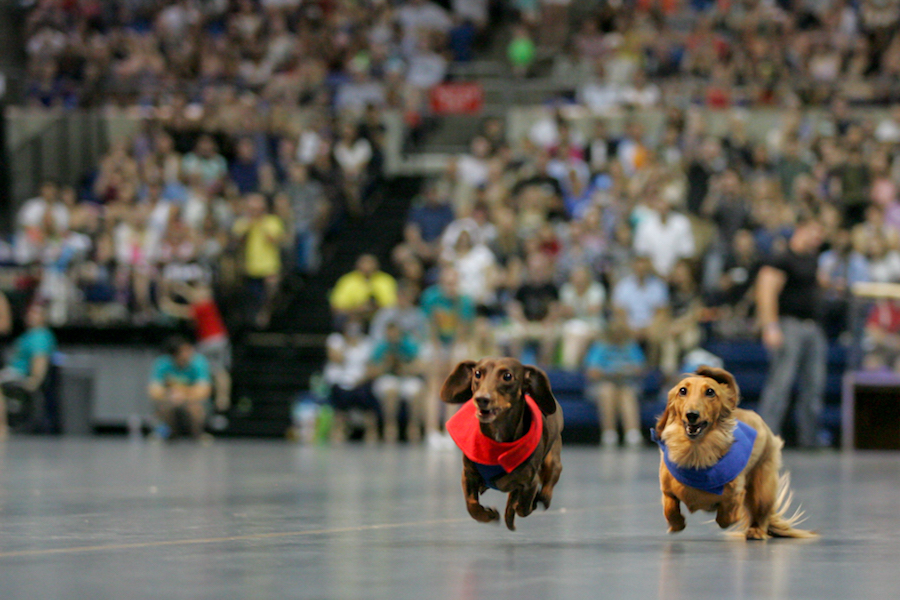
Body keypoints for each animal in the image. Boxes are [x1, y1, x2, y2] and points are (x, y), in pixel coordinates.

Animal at [442, 356, 564, 528]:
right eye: (477, 373)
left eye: (507, 376)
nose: (481, 399)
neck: (497, 439)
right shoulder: (468, 474)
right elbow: (472, 506)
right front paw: (488, 515)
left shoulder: (530, 483)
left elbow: (522, 507)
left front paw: (514, 510)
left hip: (552, 461)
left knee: (549, 483)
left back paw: (542, 499)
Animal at [652, 366, 816, 540]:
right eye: (682, 391)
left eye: (710, 392)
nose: (692, 415)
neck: (695, 453)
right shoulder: (667, 490)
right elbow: (670, 508)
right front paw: (676, 524)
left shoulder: (735, 491)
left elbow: (727, 513)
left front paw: (727, 516)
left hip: (762, 490)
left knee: (760, 514)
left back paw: (756, 531)